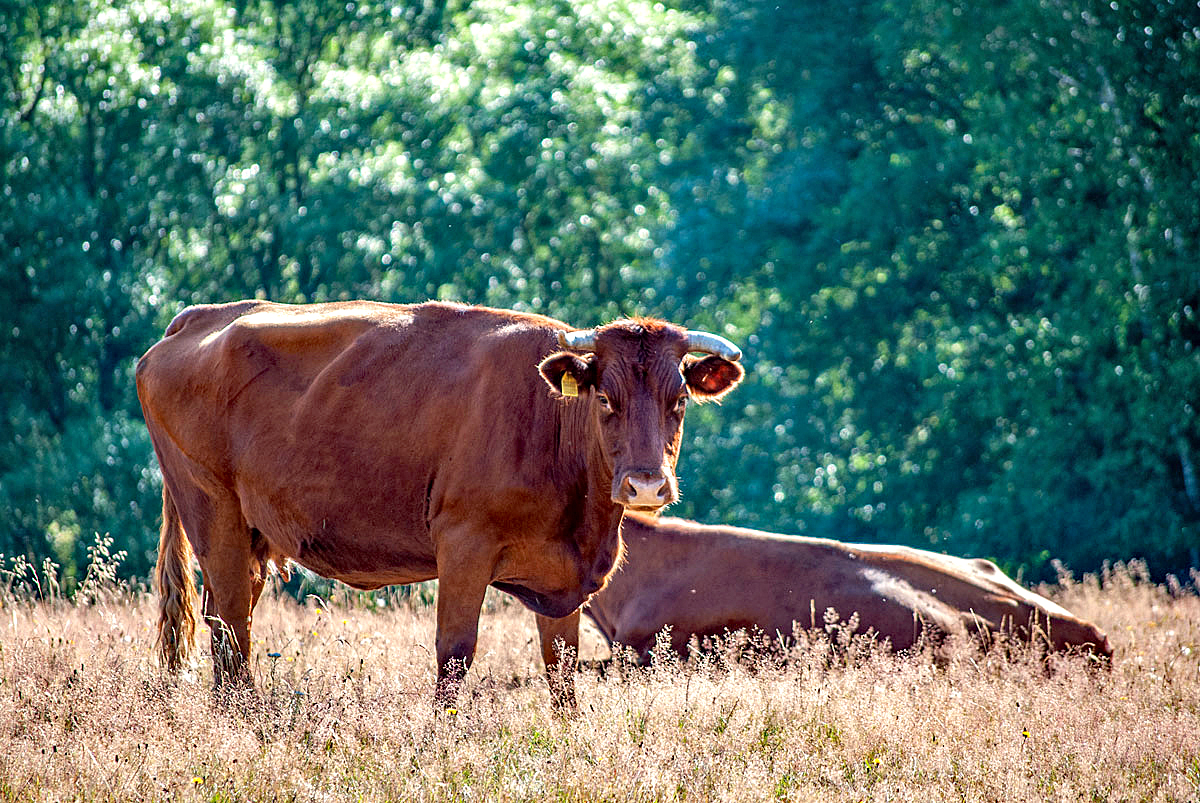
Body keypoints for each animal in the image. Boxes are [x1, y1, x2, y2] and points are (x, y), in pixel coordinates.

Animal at [138, 300, 739, 700]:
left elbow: (561, 667)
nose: (646, 485)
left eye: (679, 399)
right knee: (231, 629)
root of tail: (201, 317)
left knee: (226, 623)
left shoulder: (561, 575)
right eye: (606, 399)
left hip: (253, 537)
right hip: (212, 511)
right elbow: (454, 655)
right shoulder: (464, 545)